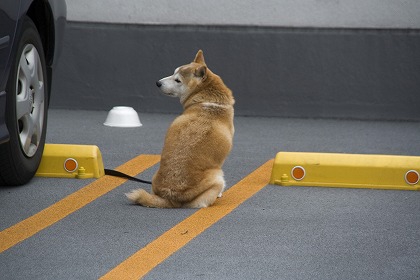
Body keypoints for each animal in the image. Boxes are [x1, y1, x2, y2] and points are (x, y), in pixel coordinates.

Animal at [126, 50, 235, 208]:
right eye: (173, 74)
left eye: (177, 80)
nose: (158, 83)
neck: (206, 101)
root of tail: (170, 196)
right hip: (218, 177)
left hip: (155, 176)